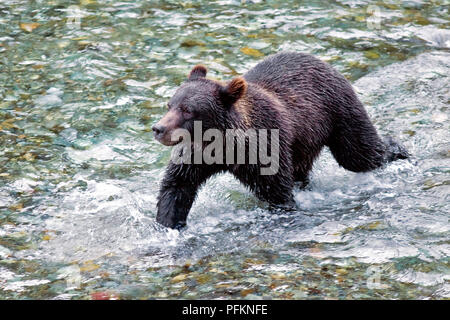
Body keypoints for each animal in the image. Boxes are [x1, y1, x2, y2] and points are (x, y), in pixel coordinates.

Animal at [151, 51, 408, 229]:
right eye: (170, 104)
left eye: (188, 110)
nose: (158, 128)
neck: (226, 144)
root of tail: (324, 62)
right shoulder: (197, 154)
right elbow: (177, 186)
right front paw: (168, 225)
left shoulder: (264, 148)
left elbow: (276, 190)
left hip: (339, 113)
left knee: (358, 154)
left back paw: (400, 152)